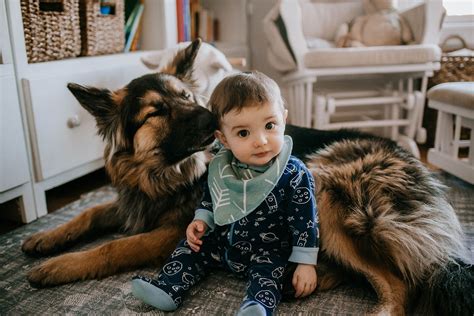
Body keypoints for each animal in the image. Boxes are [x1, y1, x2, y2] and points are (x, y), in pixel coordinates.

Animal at [23, 40, 474, 316]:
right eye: (157, 111)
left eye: (186, 97)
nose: (210, 118)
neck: (163, 173)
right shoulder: (133, 201)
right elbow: (90, 213)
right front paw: (45, 238)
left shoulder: (169, 231)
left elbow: (114, 247)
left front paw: (58, 265)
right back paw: (297, 281)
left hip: (323, 186)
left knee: (400, 286)